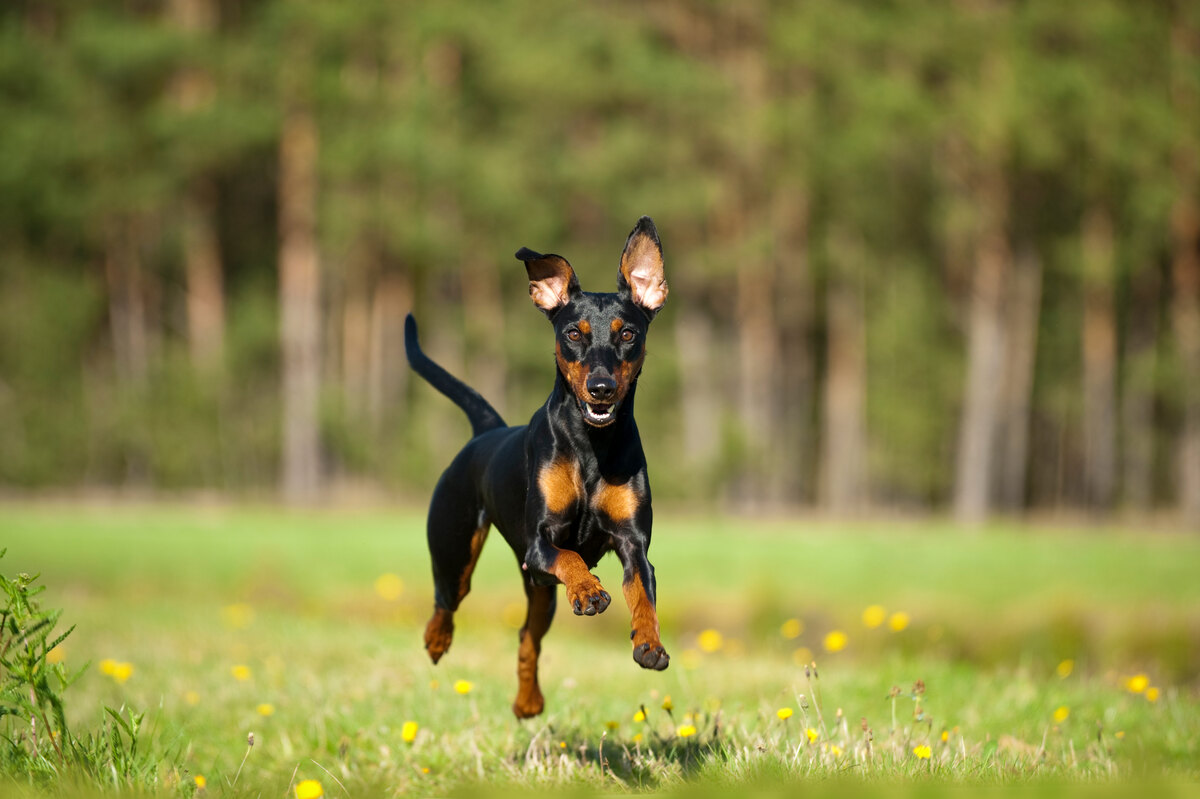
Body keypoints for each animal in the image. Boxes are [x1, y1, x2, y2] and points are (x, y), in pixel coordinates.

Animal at [400, 215, 667, 715]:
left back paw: (528, 702)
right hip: (455, 546)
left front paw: (650, 643)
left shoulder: (634, 545)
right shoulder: (539, 545)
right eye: (573, 334)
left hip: (540, 592)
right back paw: (436, 640)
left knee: (528, 635)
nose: (601, 387)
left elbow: (643, 594)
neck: (591, 446)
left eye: (628, 334)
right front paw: (589, 590)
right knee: (446, 599)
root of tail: (486, 430)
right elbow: (570, 557)